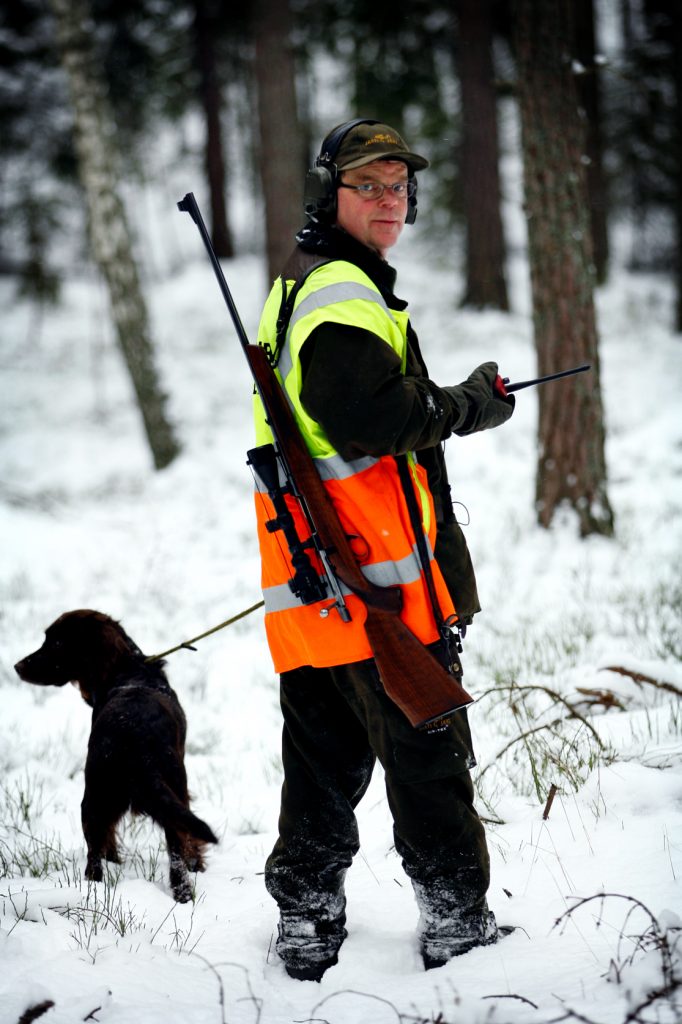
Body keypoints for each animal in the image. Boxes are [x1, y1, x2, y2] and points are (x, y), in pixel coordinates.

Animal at [14, 610, 216, 901]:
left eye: (57, 642)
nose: (17, 666)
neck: (130, 670)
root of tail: (132, 738)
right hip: (168, 791)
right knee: (175, 855)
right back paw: (183, 895)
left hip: (95, 798)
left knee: (94, 859)